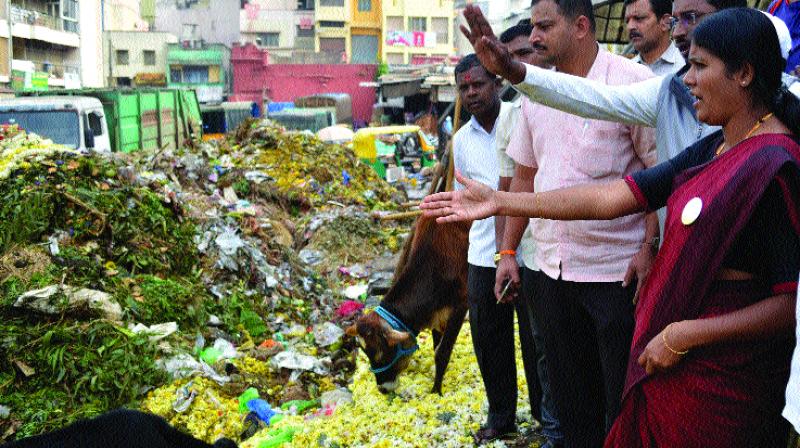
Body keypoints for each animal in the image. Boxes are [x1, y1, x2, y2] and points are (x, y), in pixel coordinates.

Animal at [344, 215, 468, 394]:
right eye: (365, 352)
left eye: (382, 354)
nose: (382, 388)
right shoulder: (436, 313)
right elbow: (436, 344)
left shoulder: (461, 304)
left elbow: (442, 352)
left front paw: (436, 391)